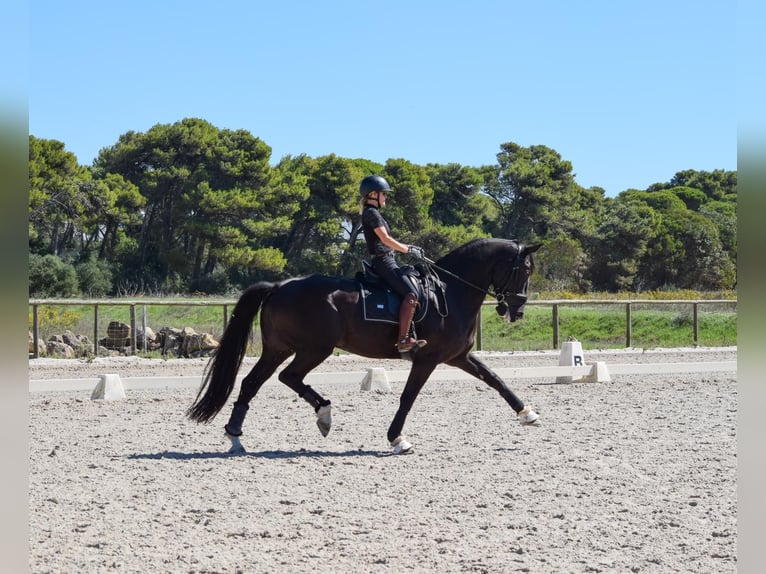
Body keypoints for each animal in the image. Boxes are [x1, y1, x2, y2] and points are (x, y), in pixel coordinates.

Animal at [187, 238, 542, 454]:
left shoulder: (458, 357)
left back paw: (237, 436)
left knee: (254, 382)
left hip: (280, 349)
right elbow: (408, 397)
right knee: (287, 377)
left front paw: (528, 414)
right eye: (524, 270)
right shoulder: (427, 358)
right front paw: (397, 439)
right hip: (314, 349)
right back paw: (322, 414)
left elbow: (496, 379)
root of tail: (279, 286)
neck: (450, 291)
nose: (518, 310)